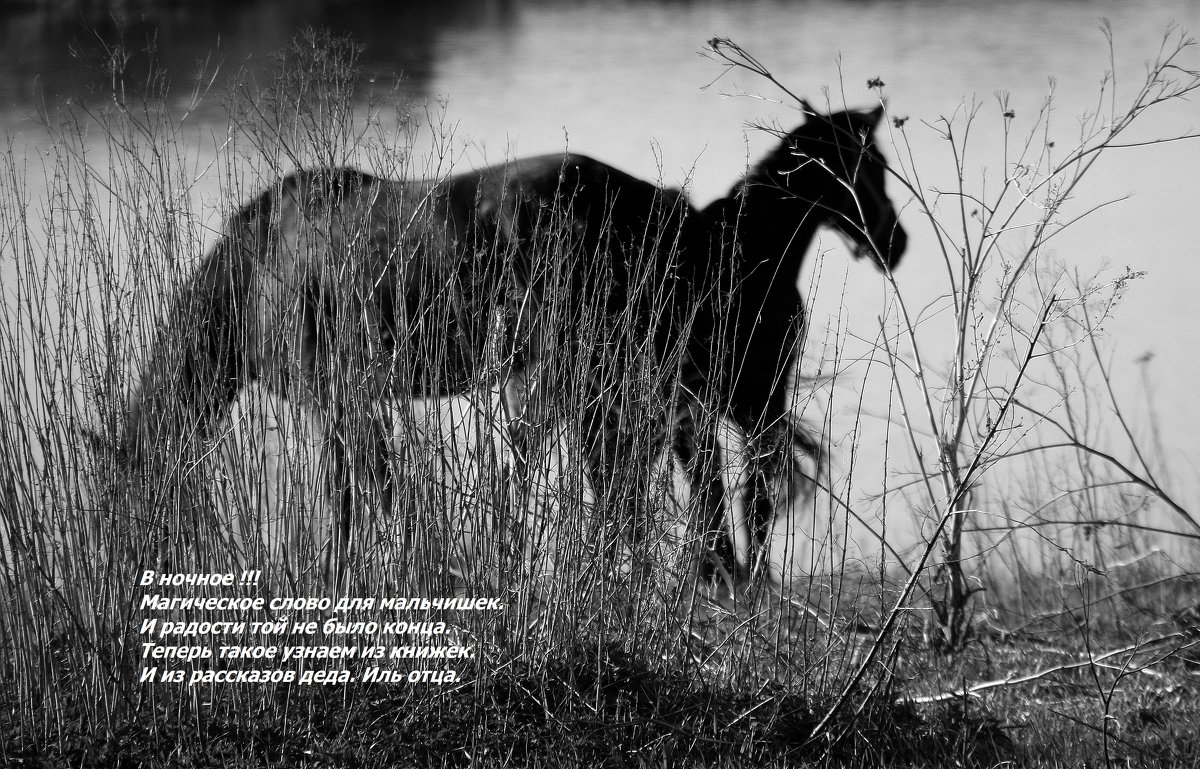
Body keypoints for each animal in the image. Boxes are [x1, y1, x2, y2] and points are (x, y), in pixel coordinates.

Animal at [103, 98, 902, 585]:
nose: (895, 239)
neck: (261, 265)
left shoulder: (338, 398)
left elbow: (362, 494)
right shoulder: (344, 402)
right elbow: (362, 493)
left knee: (658, 477)